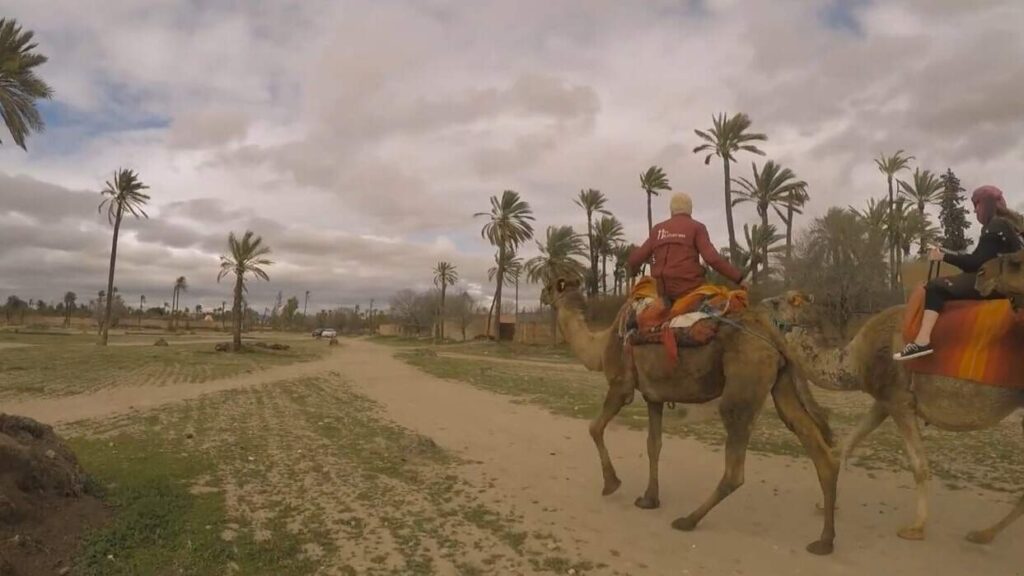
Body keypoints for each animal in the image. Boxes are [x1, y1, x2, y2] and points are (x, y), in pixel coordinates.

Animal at [544, 278, 839, 557]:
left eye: (551, 285)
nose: (544, 296)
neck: (602, 343)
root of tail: (771, 332)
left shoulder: (621, 386)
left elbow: (594, 427)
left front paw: (611, 484)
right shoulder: (654, 396)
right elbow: (653, 445)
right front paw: (649, 499)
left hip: (744, 383)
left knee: (735, 466)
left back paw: (688, 520)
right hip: (782, 381)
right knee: (816, 447)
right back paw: (824, 542)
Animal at [770, 291, 1024, 541]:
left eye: (783, 301)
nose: (764, 301)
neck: (856, 361)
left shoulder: (899, 401)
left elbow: (919, 465)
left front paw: (916, 528)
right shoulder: (883, 402)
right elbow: (848, 445)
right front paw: (826, 504)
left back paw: (983, 534)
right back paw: (984, 533)